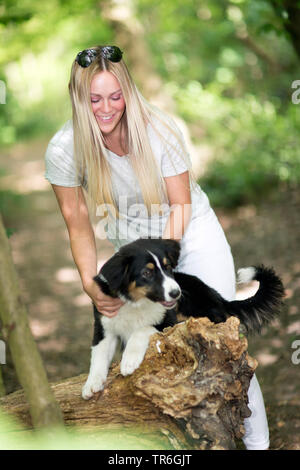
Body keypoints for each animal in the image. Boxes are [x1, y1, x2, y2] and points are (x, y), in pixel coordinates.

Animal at [81, 237, 284, 398]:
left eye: (168, 267)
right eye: (147, 273)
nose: (176, 293)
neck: (136, 303)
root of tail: (217, 297)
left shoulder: (167, 321)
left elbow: (141, 329)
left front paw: (129, 361)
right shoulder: (104, 327)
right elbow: (98, 354)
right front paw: (92, 384)